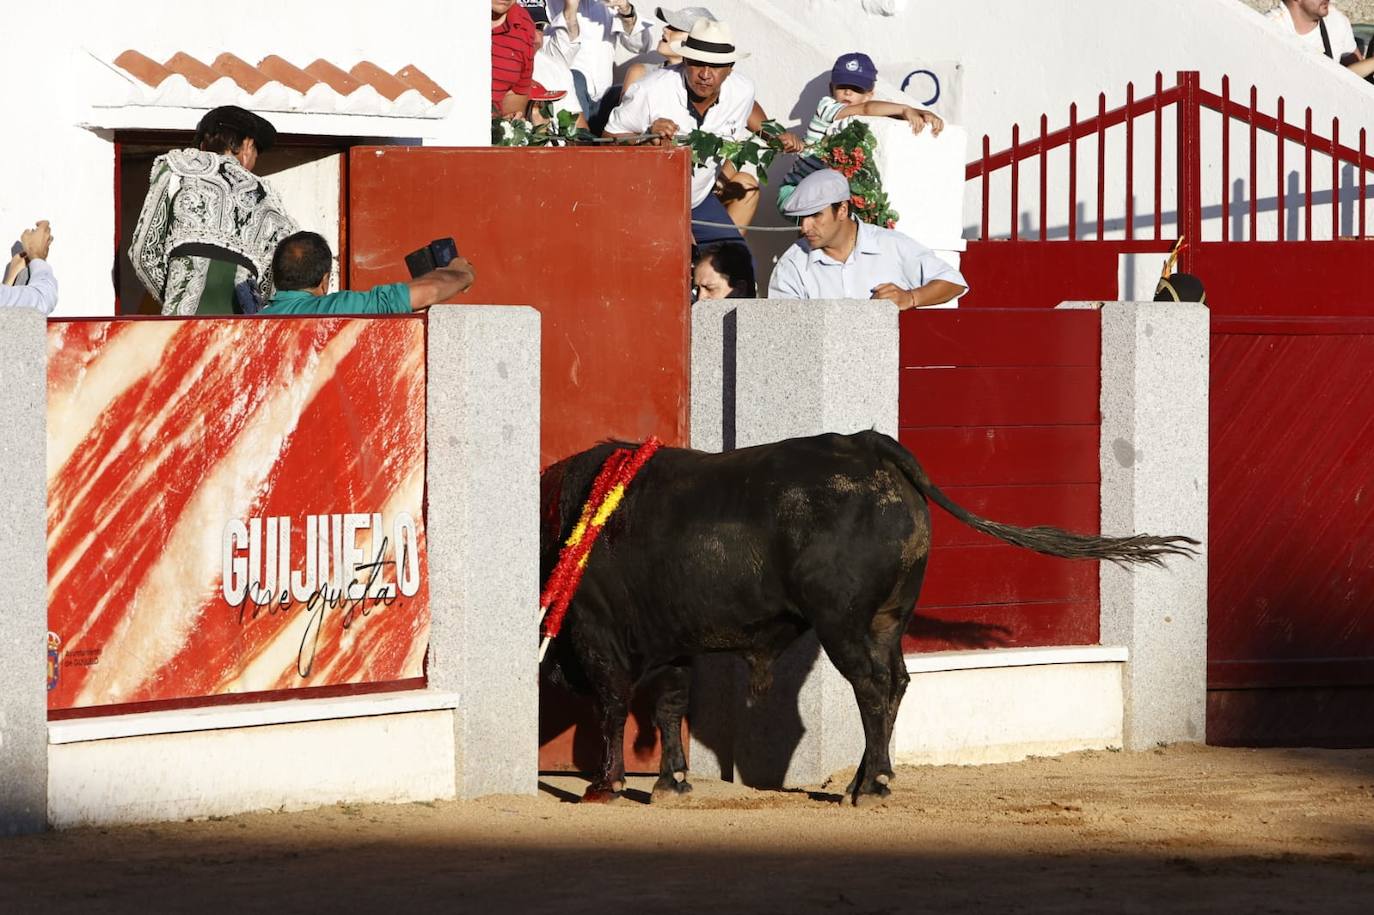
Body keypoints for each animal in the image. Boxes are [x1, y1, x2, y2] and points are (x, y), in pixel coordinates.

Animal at [535, 431, 1192, 802]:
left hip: (843, 624)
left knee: (872, 687)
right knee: (895, 683)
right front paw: (671, 783)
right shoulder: (673, 641)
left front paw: (604, 786)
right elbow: (670, 706)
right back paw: (874, 778)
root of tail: (869, 443)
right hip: (884, 620)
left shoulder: (596, 632)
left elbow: (613, 704)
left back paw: (866, 788)